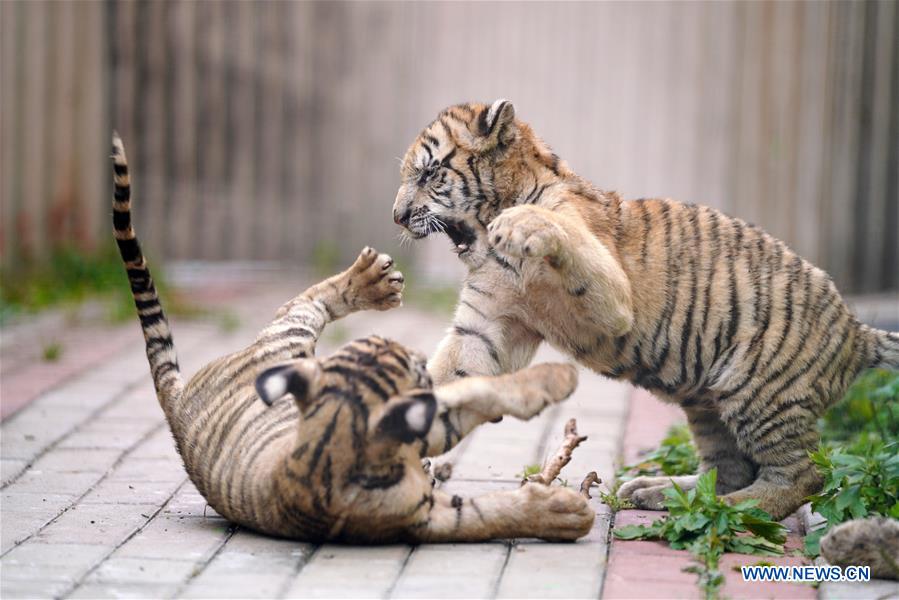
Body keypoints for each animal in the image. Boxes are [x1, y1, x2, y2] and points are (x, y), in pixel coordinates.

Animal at [110, 133, 593, 544]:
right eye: (410, 368)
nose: (413, 353)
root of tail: (175, 402)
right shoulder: (425, 500)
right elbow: (490, 507)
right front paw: (564, 505)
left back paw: (372, 280)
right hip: (287, 336)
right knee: (303, 302)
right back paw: (374, 281)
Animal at [391, 100, 899, 522]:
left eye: (429, 174)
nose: (397, 216)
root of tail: (858, 331)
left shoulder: (615, 298)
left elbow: (561, 231)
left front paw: (520, 223)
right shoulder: (489, 326)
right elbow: (445, 377)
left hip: (760, 388)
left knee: (801, 475)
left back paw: (730, 509)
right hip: (709, 402)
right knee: (730, 469)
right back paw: (664, 493)